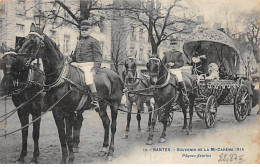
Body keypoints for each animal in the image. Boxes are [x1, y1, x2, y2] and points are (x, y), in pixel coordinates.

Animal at [17, 23, 124, 163]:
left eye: (34, 42)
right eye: (24, 40)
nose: (19, 58)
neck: (61, 76)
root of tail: (115, 74)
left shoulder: (68, 111)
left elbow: (68, 136)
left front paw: (71, 157)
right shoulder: (57, 111)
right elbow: (62, 135)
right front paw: (64, 158)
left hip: (114, 104)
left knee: (113, 126)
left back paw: (110, 152)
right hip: (101, 106)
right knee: (106, 122)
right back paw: (103, 149)